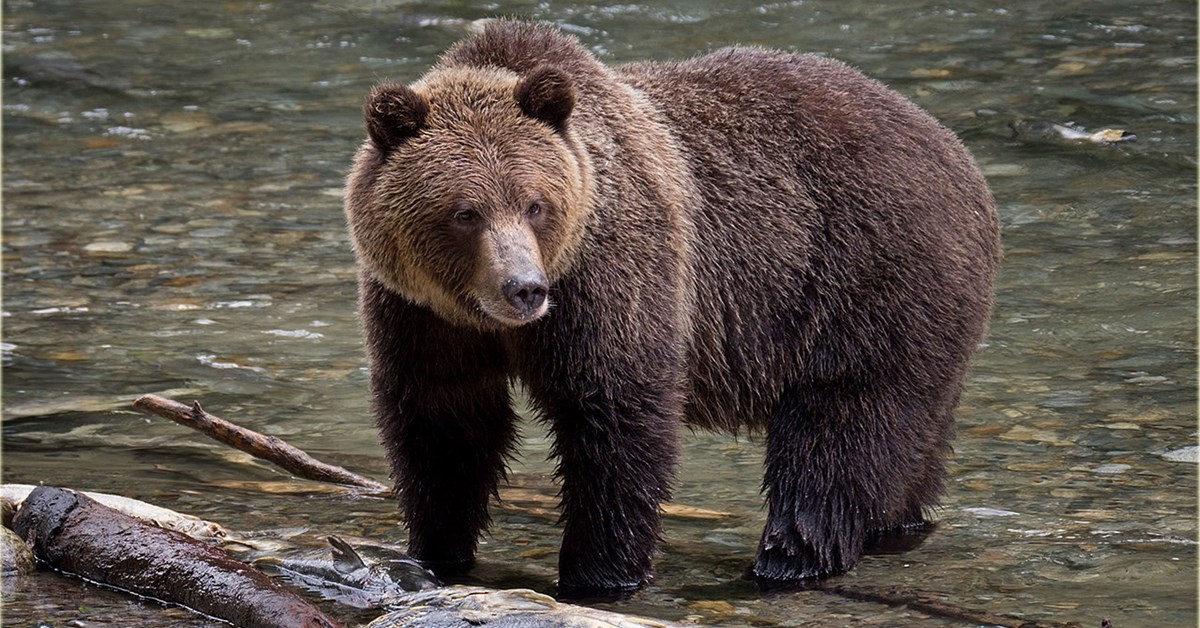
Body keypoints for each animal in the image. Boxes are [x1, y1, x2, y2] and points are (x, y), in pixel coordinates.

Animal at [344, 20, 1000, 593]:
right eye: (465, 211)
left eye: (535, 204)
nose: (524, 288)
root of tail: (959, 158)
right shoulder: (422, 314)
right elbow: (445, 423)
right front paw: (437, 550)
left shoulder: (611, 273)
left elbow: (615, 415)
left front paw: (599, 573)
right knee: (911, 443)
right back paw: (895, 526)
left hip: (867, 281)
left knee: (839, 429)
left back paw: (790, 559)